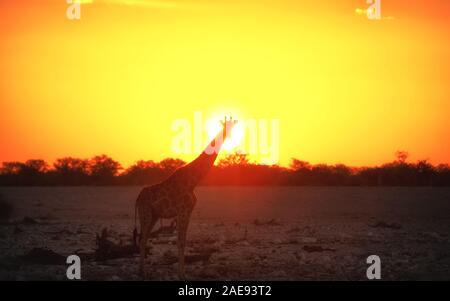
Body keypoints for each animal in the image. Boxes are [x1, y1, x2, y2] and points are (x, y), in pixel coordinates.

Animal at [134, 115, 237, 278]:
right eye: (225, 126)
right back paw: (141, 272)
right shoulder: (183, 211)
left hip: (154, 215)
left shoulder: (188, 212)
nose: (229, 134)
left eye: (232, 126)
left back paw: (142, 271)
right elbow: (180, 241)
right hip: (146, 213)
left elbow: (184, 240)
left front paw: (182, 273)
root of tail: (138, 198)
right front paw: (181, 274)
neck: (193, 181)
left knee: (144, 238)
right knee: (142, 238)